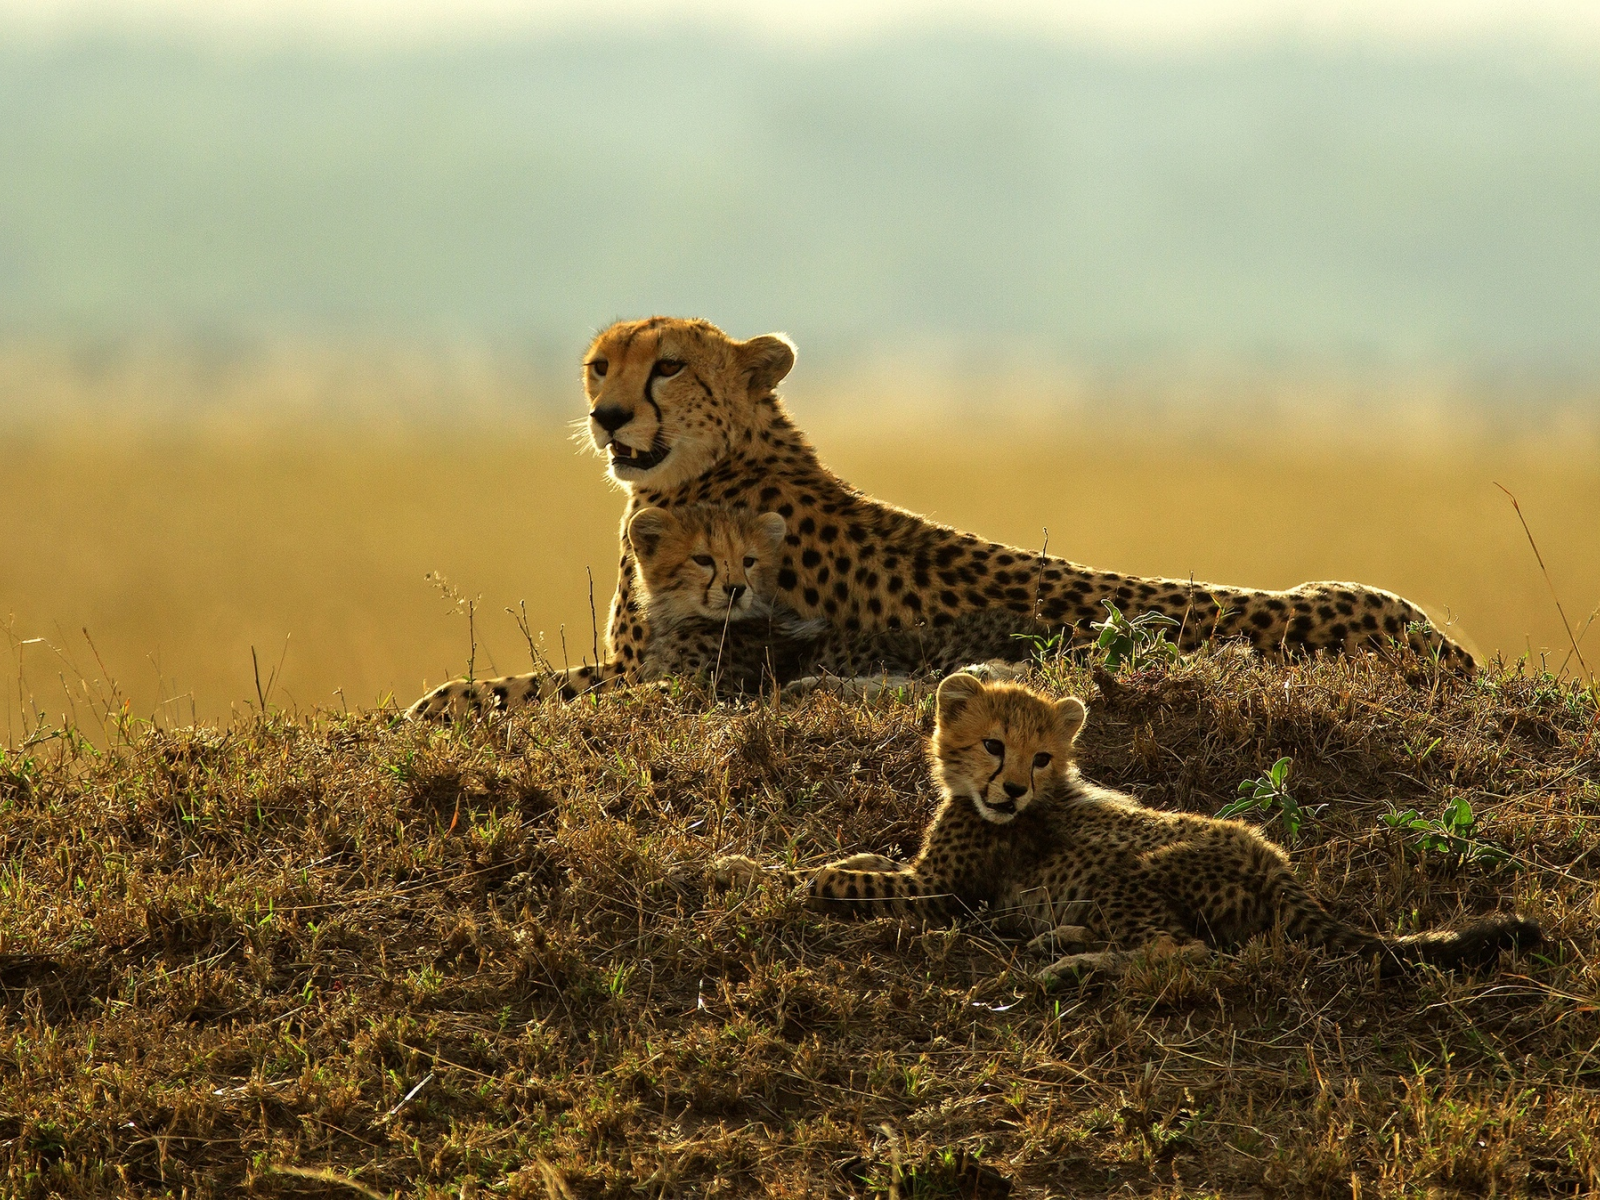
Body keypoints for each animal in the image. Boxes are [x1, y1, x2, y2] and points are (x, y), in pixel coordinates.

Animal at [406, 315, 1465, 720]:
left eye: (667, 366)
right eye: (600, 365)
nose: (609, 416)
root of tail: (1439, 642)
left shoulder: (663, 673)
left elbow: (510, 693)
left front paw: (432, 705)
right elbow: (515, 688)